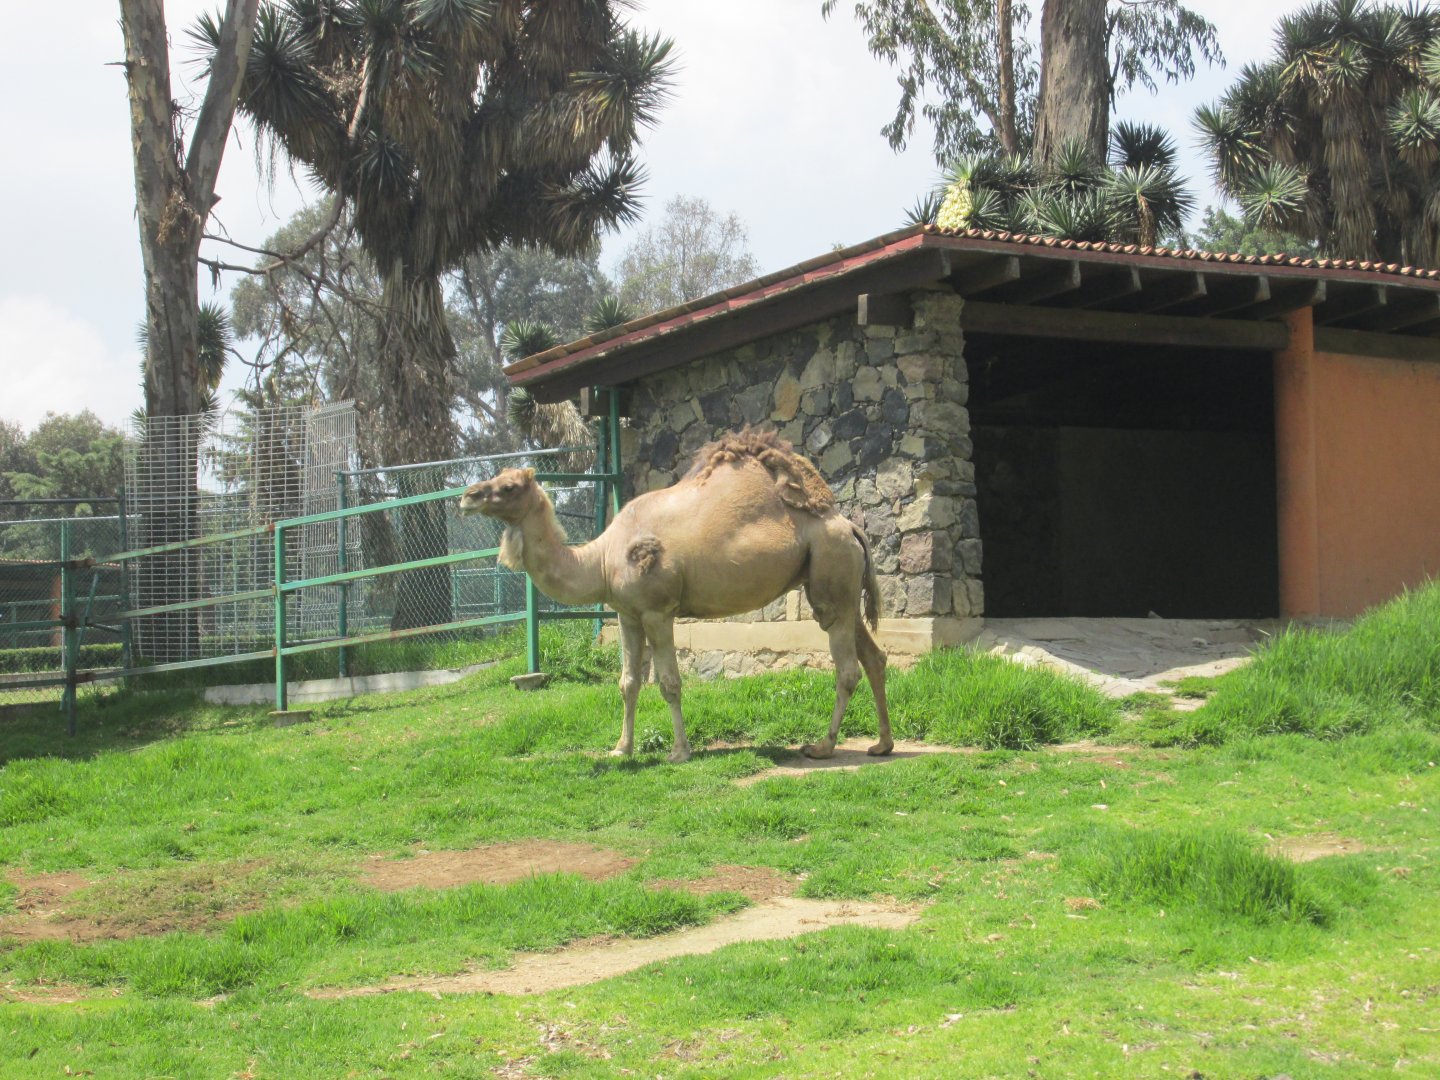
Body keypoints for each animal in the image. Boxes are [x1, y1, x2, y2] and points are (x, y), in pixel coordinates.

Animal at [458, 428, 891, 763]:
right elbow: (628, 682)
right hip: (838, 587)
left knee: (846, 667)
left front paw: (680, 751)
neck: (601, 559)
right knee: (873, 656)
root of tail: (849, 526)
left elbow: (668, 682)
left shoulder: (656, 610)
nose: (468, 494)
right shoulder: (626, 614)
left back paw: (822, 747)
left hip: (830, 569)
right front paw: (621, 749)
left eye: (509, 487)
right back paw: (881, 744)